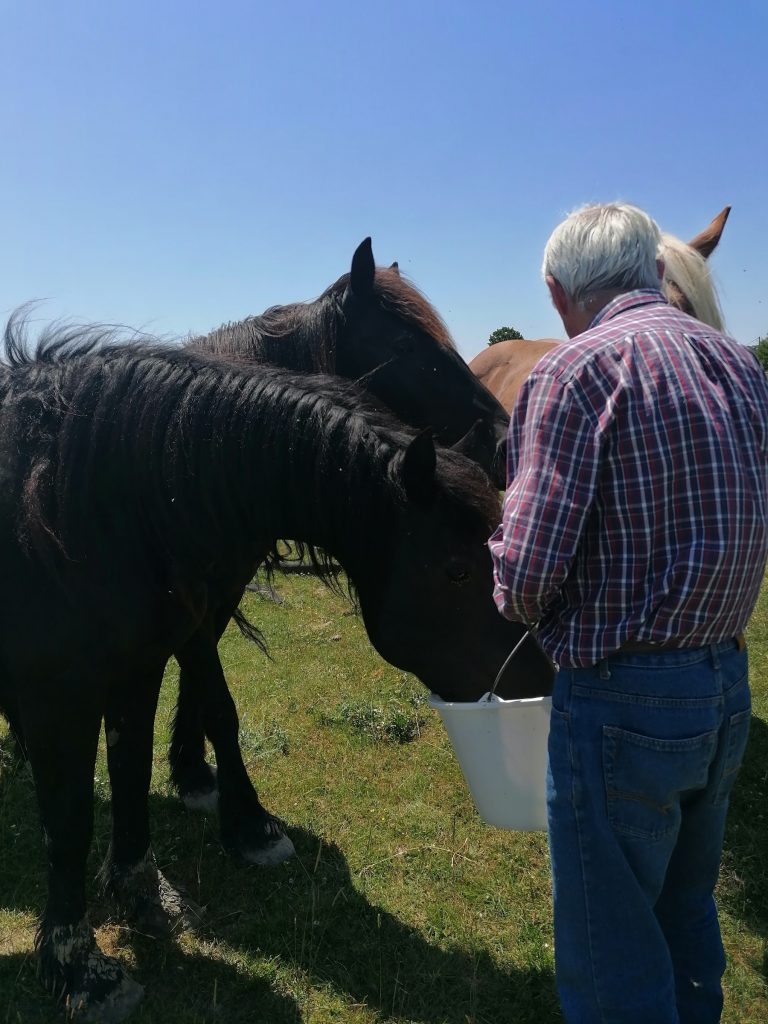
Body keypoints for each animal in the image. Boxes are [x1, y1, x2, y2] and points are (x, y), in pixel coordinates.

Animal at [0, 324, 553, 1021]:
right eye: (456, 570)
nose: (539, 679)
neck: (85, 504)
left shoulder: (140, 668)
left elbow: (131, 773)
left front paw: (145, 892)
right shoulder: (61, 694)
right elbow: (71, 820)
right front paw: (80, 970)